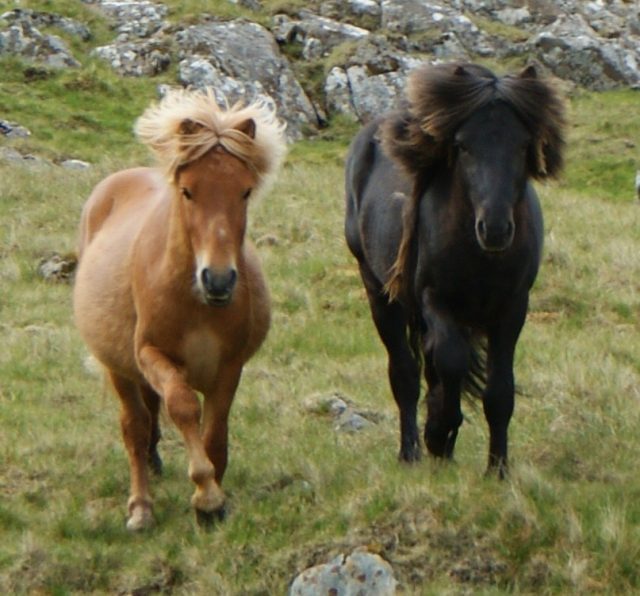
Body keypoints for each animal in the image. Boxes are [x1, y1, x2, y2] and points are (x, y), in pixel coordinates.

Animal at [72, 89, 284, 532]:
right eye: (188, 191)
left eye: (245, 191)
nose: (217, 280)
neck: (197, 303)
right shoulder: (152, 355)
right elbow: (184, 406)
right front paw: (206, 495)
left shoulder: (229, 366)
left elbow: (215, 433)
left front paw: (215, 501)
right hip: (118, 368)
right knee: (134, 427)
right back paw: (141, 507)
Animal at [344, 62, 564, 474]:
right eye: (462, 146)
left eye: (522, 145)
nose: (494, 228)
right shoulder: (436, 302)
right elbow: (449, 362)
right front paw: (438, 431)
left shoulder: (512, 309)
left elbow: (499, 391)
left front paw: (497, 468)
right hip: (380, 293)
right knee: (406, 373)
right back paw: (412, 451)